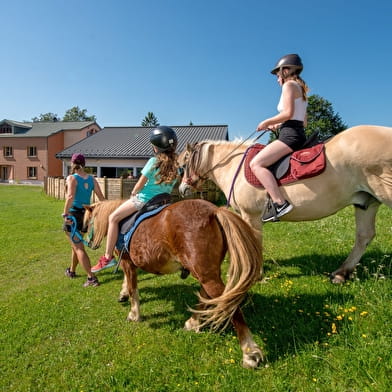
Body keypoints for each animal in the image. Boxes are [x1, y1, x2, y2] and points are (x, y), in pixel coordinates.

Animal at [84, 199, 264, 368]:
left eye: (88, 222)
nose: (90, 243)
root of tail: (214, 211)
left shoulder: (127, 262)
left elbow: (132, 287)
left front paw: (134, 314)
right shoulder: (129, 263)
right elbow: (127, 282)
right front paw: (123, 295)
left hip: (207, 275)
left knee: (230, 305)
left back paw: (249, 353)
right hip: (207, 272)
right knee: (206, 296)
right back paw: (193, 322)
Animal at [179, 125, 392, 282]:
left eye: (183, 165)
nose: (182, 190)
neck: (233, 166)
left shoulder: (251, 216)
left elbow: (254, 242)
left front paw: (255, 275)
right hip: (366, 202)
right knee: (364, 236)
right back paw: (341, 273)